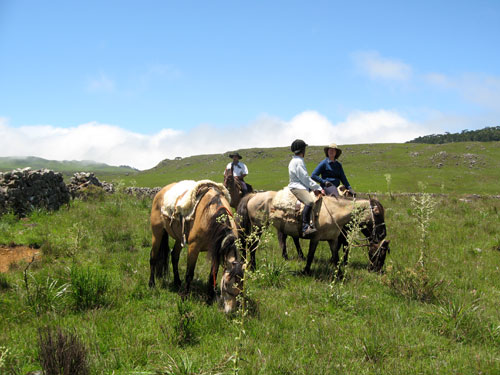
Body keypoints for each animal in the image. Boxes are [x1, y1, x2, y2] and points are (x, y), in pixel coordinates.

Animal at [148, 182, 244, 314]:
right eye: (226, 284)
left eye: (241, 287)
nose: (230, 311)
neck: (211, 216)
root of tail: (160, 192)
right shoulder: (194, 247)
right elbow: (189, 273)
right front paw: (185, 297)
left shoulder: (215, 250)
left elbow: (212, 275)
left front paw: (209, 298)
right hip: (157, 233)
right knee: (153, 257)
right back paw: (151, 284)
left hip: (179, 238)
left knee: (174, 256)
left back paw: (177, 282)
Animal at [237, 192, 390, 274]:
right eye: (377, 213)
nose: (377, 270)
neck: (334, 212)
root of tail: (253, 196)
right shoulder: (315, 238)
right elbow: (311, 255)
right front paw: (305, 271)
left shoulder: (333, 240)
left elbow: (336, 257)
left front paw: (339, 274)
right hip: (258, 227)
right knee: (252, 245)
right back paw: (253, 266)